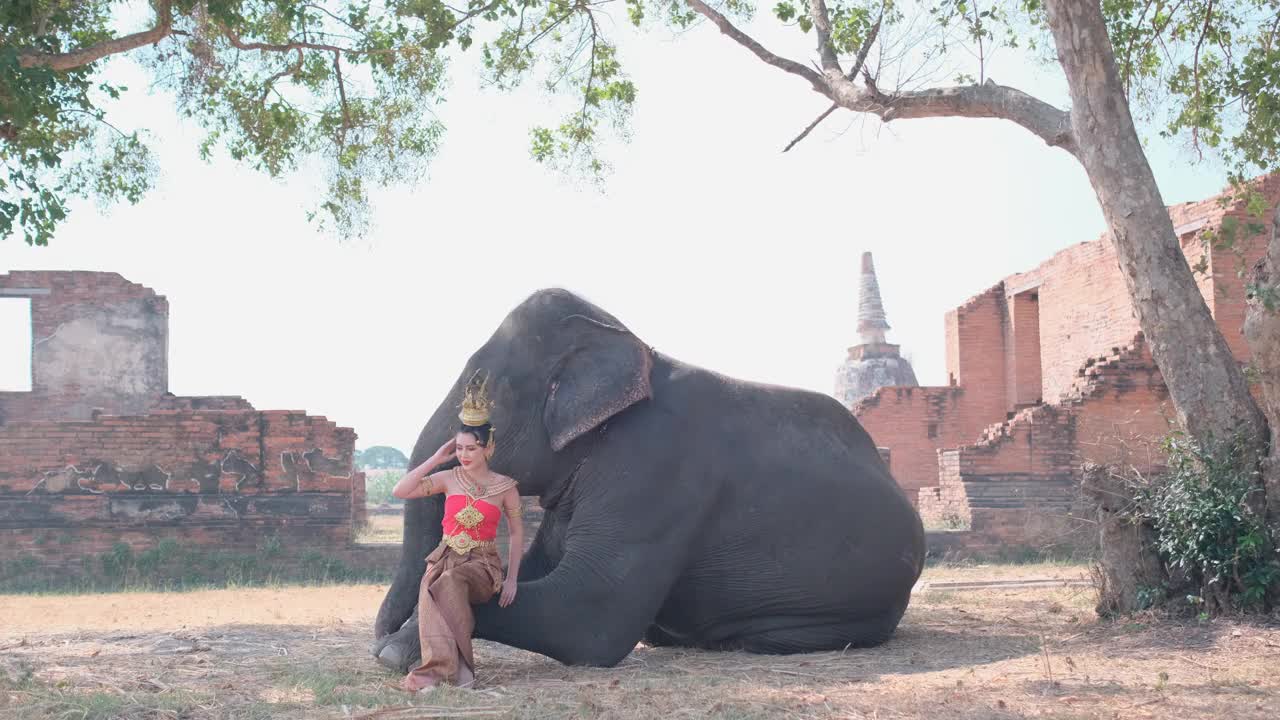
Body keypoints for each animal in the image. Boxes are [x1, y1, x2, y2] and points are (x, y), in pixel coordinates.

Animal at [373, 285, 926, 666]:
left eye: (475, 383)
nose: (379, 644)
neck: (635, 348)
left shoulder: (657, 470)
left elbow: (591, 616)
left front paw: (401, 651)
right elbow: (534, 572)